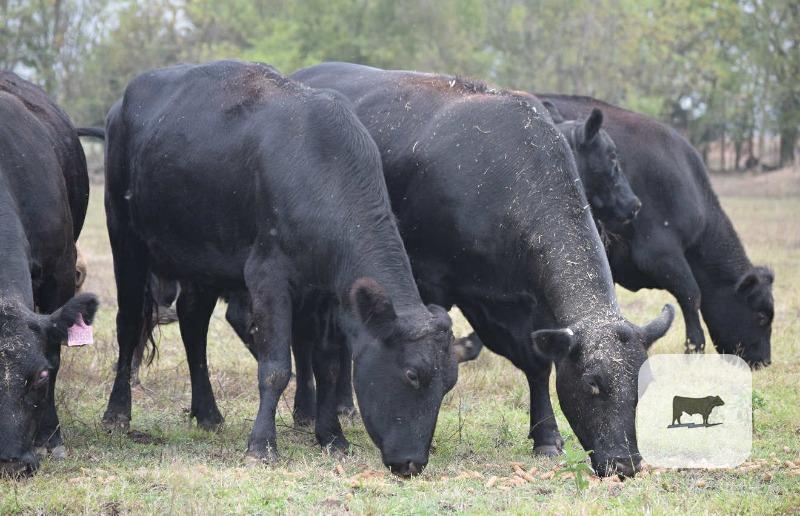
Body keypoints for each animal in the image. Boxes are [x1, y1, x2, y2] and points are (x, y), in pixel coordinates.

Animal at [100, 61, 458, 477]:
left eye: (448, 384)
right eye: (412, 373)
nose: (412, 462)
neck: (321, 166)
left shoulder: (326, 292)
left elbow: (328, 364)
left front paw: (332, 437)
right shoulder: (267, 276)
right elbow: (275, 367)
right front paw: (261, 444)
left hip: (203, 258)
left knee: (193, 323)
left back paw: (207, 413)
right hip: (125, 239)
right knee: (128, 324)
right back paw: (117, 413)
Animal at [291, 62, 675, 477]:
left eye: (642, 389)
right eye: (593, 384)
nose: (625, 463)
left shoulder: (530, 305)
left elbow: (538, 365)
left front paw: (546, 436)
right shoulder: (434, 284)